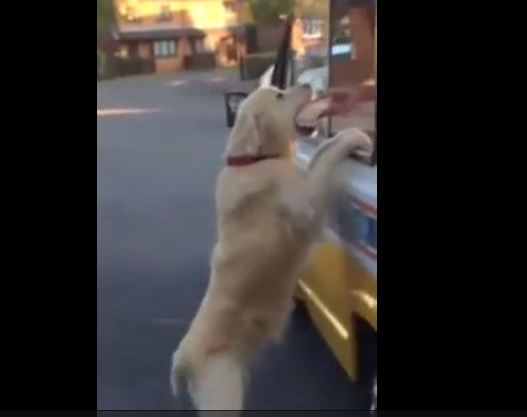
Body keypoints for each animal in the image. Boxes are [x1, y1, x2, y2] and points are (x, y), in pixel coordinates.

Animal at [169, 83, 372, 412]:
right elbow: (324, 163)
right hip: (222, 390)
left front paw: (340, 136)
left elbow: (321, 154)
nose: (308, 85)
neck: (254, 159)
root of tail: (180, 361)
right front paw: (352, 138)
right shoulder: (305, 202)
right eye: (279, 95)